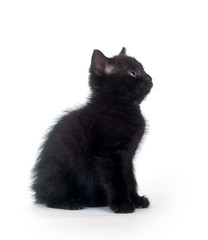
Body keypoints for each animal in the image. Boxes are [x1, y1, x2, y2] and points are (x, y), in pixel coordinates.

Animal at [32, 47, 153, 214]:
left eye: (143, 69)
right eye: (133, 73)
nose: (149, 78)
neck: (121, 107)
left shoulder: (127, 157)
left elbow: (129, 178)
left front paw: (135, 199)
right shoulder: (109, 155)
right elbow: (117, 179)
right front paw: (122, 204)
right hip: (57, 170)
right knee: (50, 198)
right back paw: (70, 202)